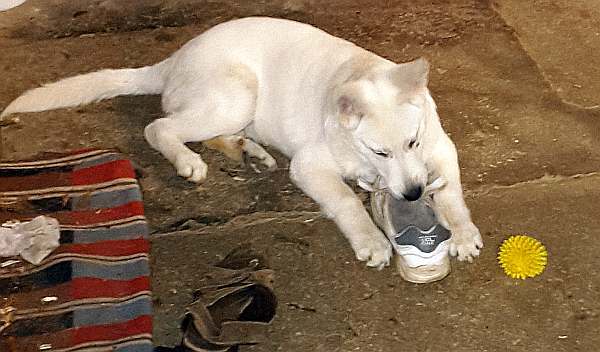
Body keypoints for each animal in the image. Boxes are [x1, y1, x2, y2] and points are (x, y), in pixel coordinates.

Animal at [1, 17, 482, 270]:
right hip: (237, 93)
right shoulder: (310, 165)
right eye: (380, 152)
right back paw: (189, 161)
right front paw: (371, 240)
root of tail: (174, 59)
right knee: (159, 127)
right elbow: (346, 200)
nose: (415, 194)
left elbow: (453, 195)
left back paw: (250, 150)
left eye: (413, 142)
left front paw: (462, 232)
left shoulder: (441, 149)